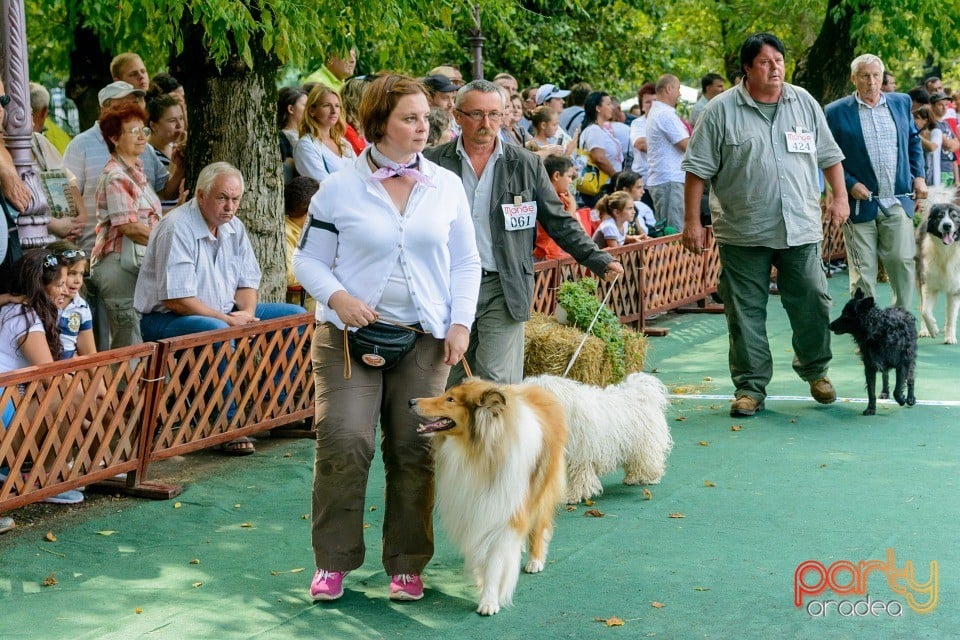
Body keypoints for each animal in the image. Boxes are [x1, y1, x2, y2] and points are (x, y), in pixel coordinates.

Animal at [408, 380, 568, 616]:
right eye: (447, 394)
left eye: (450, 399)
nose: (411, 401)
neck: (476, 451)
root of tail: (538, 388)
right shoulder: (474, 510)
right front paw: (482, 580)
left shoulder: (502, 513)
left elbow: (495, 562)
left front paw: (489, 600)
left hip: (542, 489)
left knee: (539, 525)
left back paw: (535, 561)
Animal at [828, 288, 920, 416]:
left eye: (846, 314)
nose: (829, 325)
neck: (878, 331)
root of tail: (901, 309)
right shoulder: (870, 366)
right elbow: (871, 391)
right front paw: (871, 408)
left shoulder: (901, 364)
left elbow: (897, 389)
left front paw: (902, 399)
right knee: (885, 375)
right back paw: (885, 392)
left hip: (909, 356)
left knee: (911, 378)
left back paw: (910, 398)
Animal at [916, 189, 960, 344]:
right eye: (940, 216)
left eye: (954, 216)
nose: (947, 225)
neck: (946, 251)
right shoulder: (928, 285)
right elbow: (925, 311)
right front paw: (933, 329)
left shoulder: (955, 288)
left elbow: (952, 316)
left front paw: (950, 337)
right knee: (921, 306)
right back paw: (924, 331)